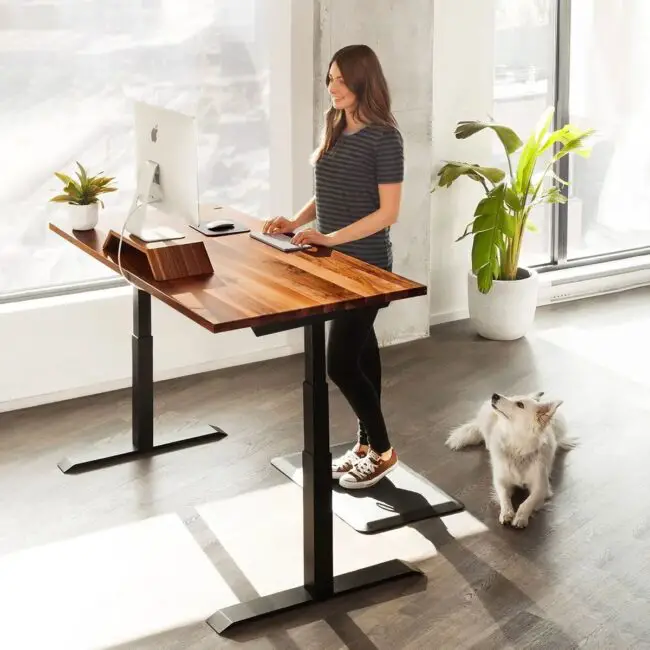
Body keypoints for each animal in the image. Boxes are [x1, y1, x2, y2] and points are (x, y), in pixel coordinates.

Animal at [446, 390, 572, 528]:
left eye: (520, 404)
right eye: (512, 398)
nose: (494, 395)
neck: (517, 448)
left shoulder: (541, 487)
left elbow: (528, 502)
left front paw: (521, 517)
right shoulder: (501, 481)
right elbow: (504, 497)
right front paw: (506, 513)